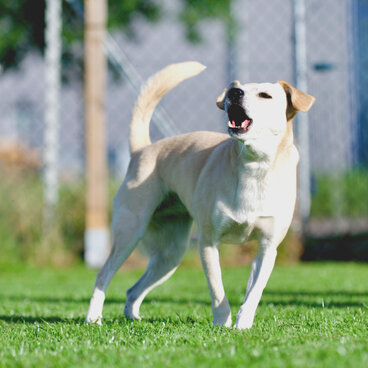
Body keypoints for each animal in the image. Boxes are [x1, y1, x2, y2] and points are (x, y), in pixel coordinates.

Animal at [85, 61, 314, 330]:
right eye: (236, 89)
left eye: (265, 95)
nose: (233, 93)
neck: (254, 166)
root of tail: (143, 149)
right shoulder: (208, 242)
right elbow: (217, 289)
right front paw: (222, 323)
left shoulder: (268, 248)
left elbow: (254, 292)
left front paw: (243, 324)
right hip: (129, 234)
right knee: (103, 275)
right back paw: (93, 318)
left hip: (170, 255)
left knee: (132, 290)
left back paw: (133, 318)